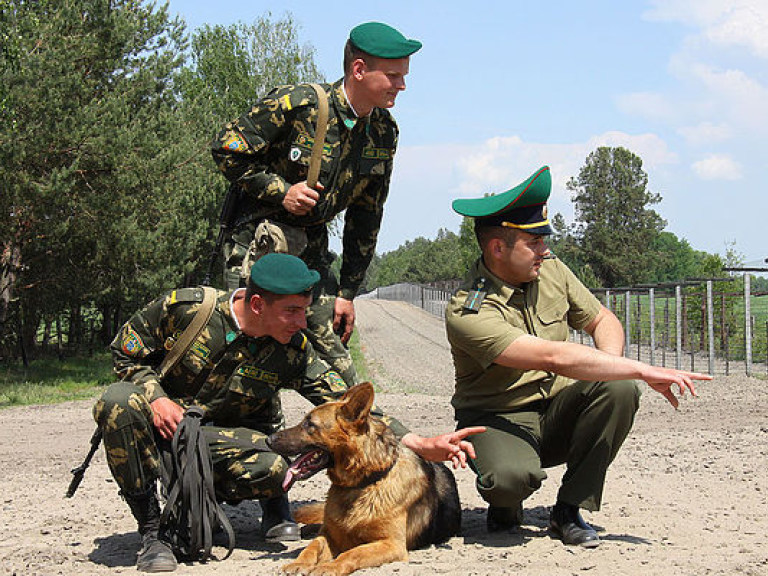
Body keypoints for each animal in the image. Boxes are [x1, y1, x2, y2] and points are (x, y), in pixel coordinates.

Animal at [270, 380, 462, 572]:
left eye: (310, 424)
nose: (268, 439)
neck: (364, 483)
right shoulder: (330, 535)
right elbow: (312, 547)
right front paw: (299, 562)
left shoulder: (391, 545)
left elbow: (353, 553)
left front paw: (331, 567)